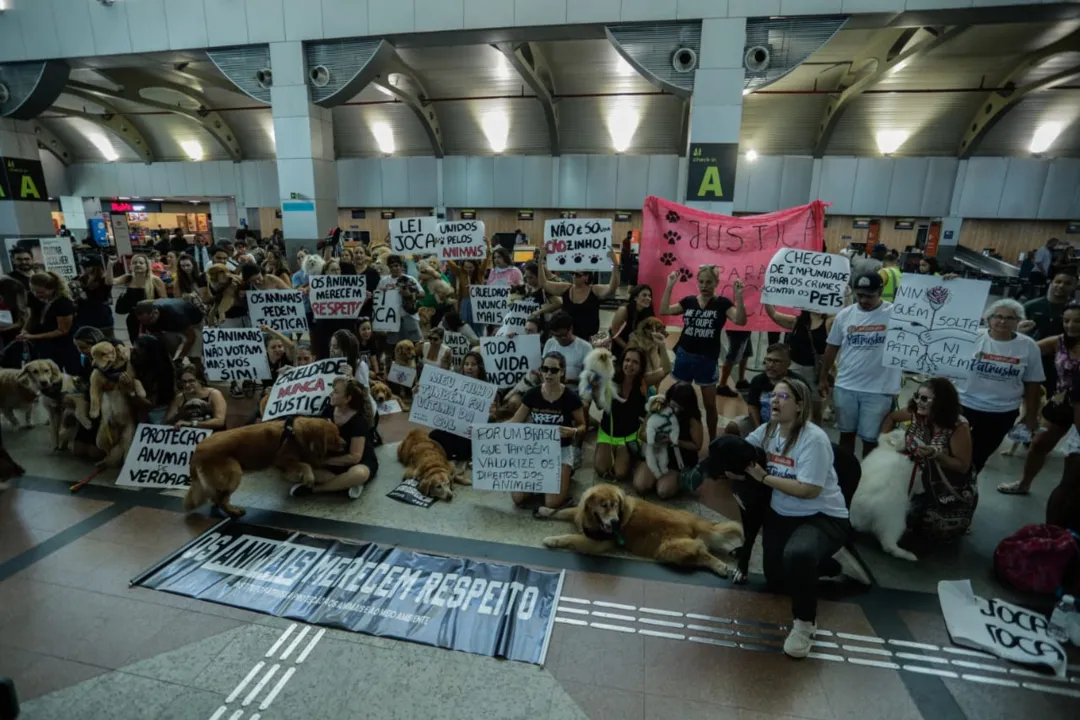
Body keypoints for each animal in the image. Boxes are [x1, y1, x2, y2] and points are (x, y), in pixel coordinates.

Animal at [181, 416, 341, 518]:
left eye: (339, 435)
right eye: (333, 439)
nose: (345, 444)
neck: (296, 434)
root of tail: (197, 451)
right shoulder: (282, 460)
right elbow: (306, 465)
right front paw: (308, 478)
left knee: (216, 498)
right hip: (233, 473)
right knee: (221, 499)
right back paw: (233, 512)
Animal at [540, 481, 743, 578]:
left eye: (616, 505)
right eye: (604, 505)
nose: (615, 522)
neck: (593, 520)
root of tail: (693, 522)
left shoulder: (597, 543)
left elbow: (570, 537)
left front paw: (552, 539)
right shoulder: (578, 513)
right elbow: (564, 511)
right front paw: (544, 510)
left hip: (669, 550)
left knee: (701, 553)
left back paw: (720, 566)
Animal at [695, 433, 864, 587]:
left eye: (719, 454)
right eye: (709, 450)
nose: (698, 467)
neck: (746, 475)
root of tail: (856, 460)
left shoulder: (757, 514)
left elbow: (749, 539)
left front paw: (742, 570)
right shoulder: (744, 510)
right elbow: (746, 534)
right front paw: (741, 551)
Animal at [851, 431, 920, 561]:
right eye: (904, 435)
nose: (909, 433)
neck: (892, 449)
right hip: (895, 521)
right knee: (889, 545)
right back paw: (909, 555)